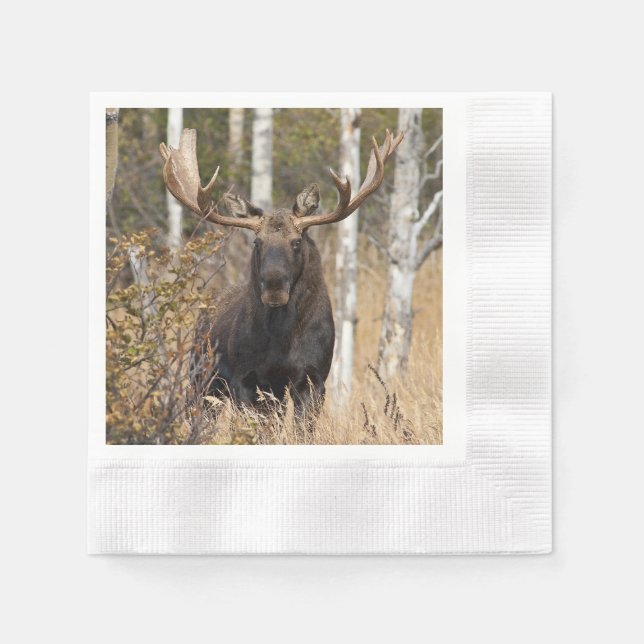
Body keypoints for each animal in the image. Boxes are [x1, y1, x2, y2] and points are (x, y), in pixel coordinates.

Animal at [159, 127, 403, 419]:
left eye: (296, 242)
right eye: (257, 242)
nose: (274, 288)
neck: (282, 340)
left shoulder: (314, 379)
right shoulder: (246, 379)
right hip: (202, 379)